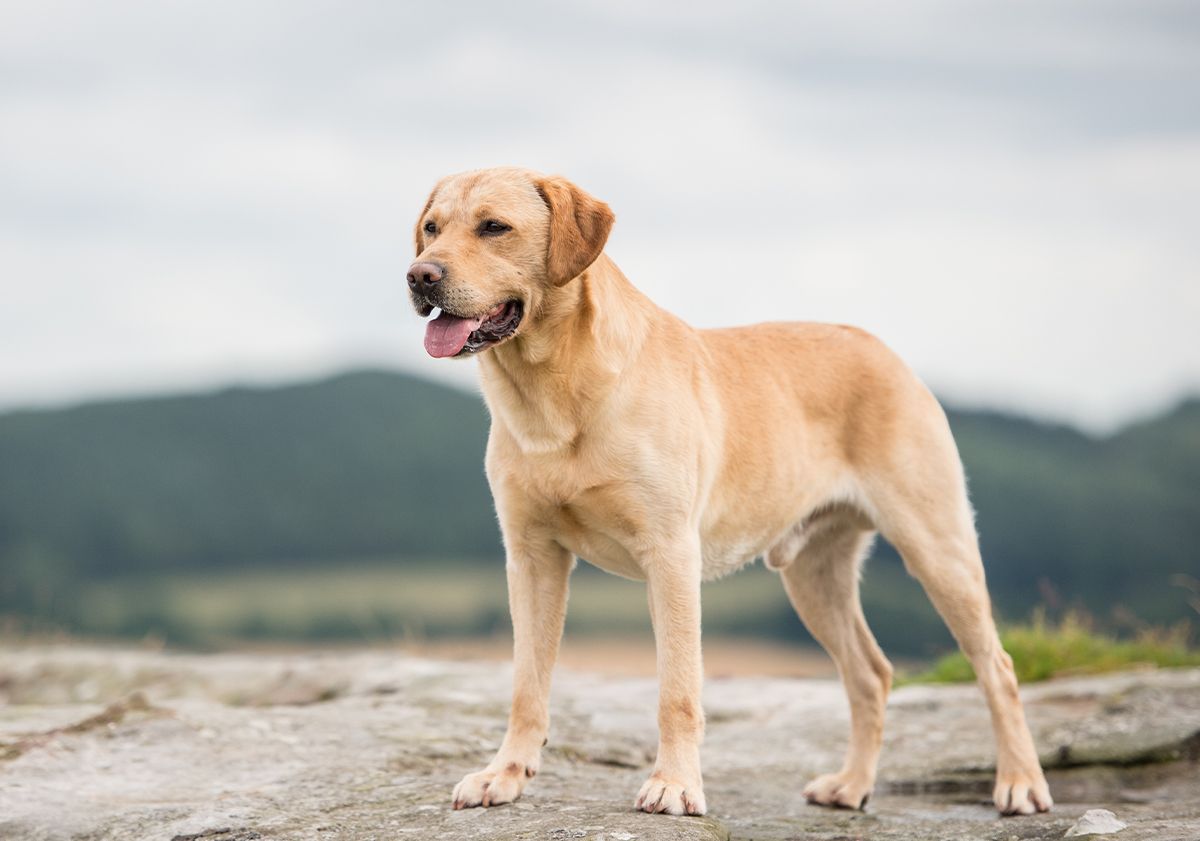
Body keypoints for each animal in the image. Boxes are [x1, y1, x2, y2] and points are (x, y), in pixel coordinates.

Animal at [410, 166, 1051, 815]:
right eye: (431, 229)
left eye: (495, 227)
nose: (419, 276)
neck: (553, 392)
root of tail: (883, 348)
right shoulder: (532, 557)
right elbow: (527, 682)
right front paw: (505, 774)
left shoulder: (671, 554)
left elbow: (678, 689)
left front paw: (674, 785)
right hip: (814, 576)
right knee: (871, 673)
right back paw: (851, 785)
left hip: (937, 548)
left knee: (996, 666)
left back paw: (1020, 782)